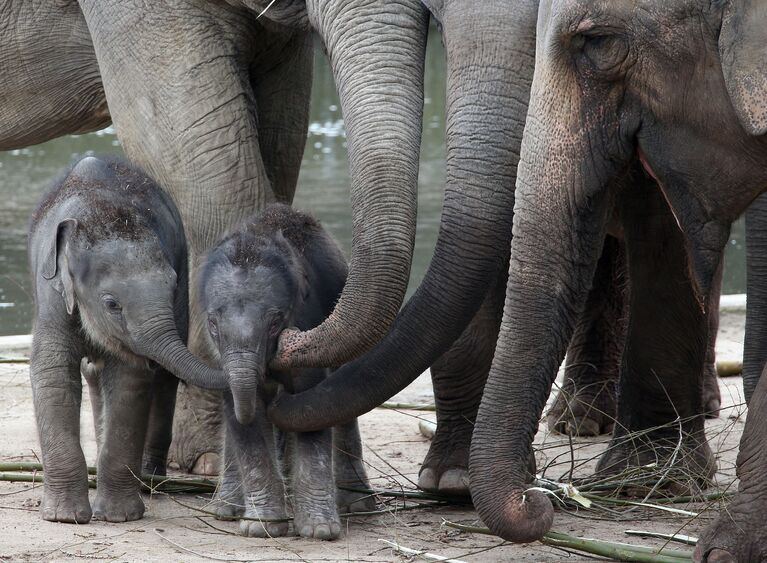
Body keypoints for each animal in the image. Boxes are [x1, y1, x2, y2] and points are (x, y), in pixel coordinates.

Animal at [28, 155, 224, 524]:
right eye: (111, 304)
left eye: (173, 286)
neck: (97, 210)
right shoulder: (52, 294)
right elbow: (53, 375)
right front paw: (64, 517)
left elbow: (129, 380)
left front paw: (118, 517)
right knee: (94, 374)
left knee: (164, 377)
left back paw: (149, 481)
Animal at [178, 205, 376, 540]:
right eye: (213, 325)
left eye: (275, 323)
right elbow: (242, 416)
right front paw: (261, 527)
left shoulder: (308, 327)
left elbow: (310, 407)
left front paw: (319, 531)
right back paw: (225, 511)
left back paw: (355, 505)